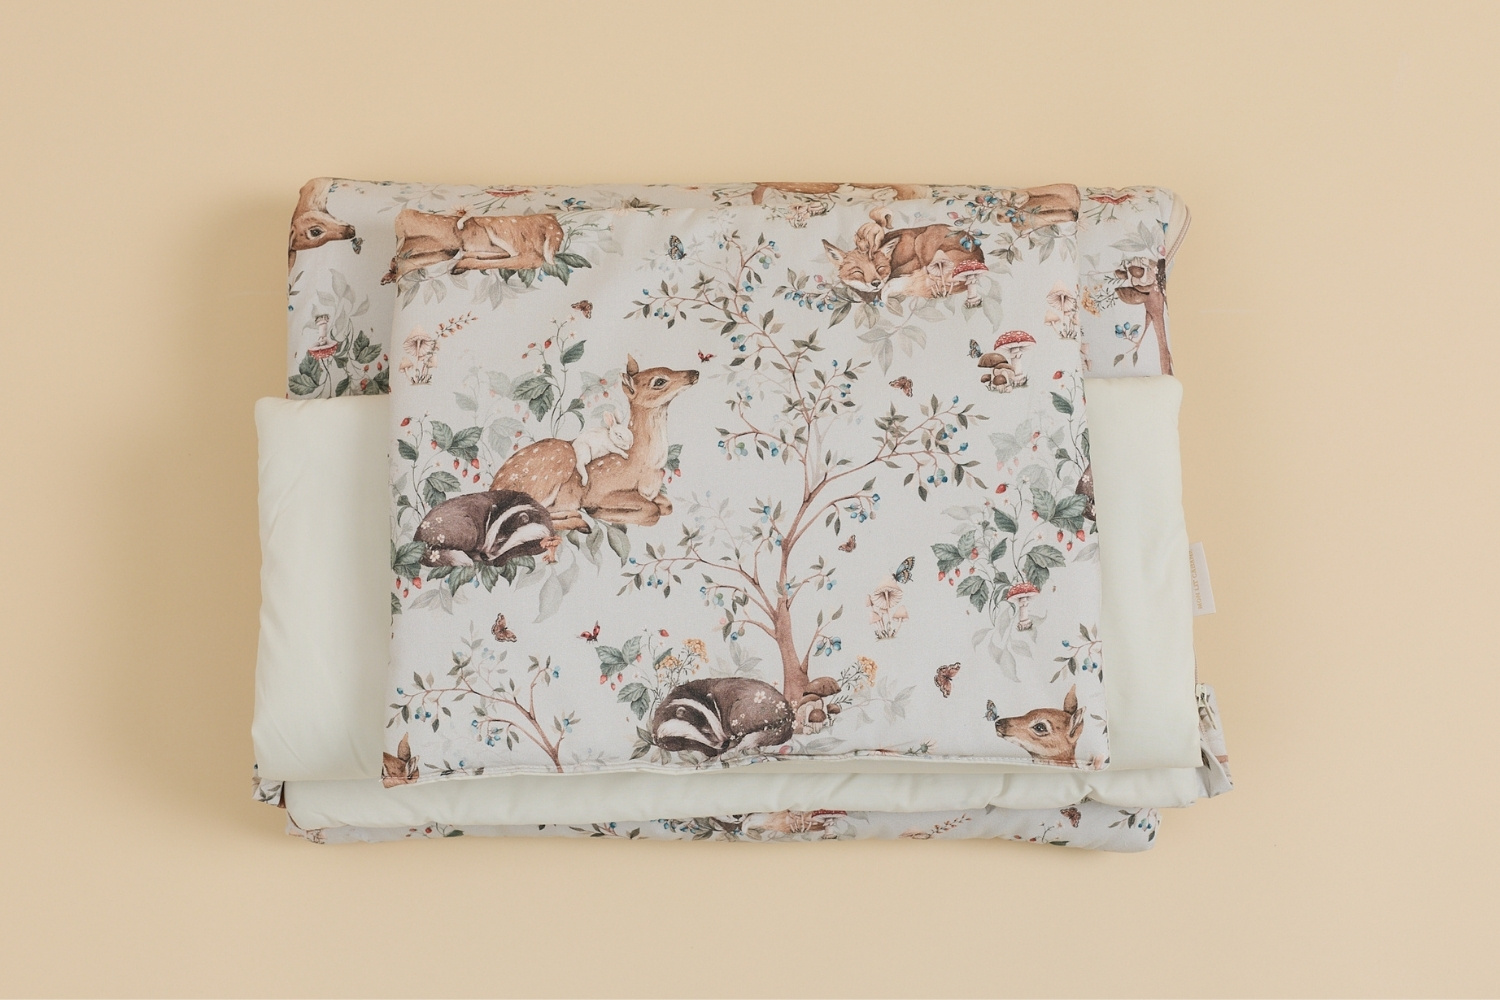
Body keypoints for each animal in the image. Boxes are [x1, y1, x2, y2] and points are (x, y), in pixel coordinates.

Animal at [488, 356, 699, 532]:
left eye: (669, 368)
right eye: (659, 381)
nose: (695, 373)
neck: (645, 464)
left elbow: (667, 506)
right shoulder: (601, 491)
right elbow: (653, 511)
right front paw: (600, 512)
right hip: (555, 464)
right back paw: (581, 522)